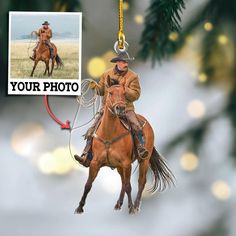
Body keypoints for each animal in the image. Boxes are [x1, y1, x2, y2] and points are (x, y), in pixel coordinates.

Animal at [74, 77, 175, 214]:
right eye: (110, 93)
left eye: (124, 93)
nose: (120, 108)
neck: (109, 135)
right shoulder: (95, 163)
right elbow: (88, 185)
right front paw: (79, 207)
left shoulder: (126, 163)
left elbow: (128, 186)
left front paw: (131, 207)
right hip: (119, 167)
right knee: (122, 182)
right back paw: (119, 204)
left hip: (144, 160)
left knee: (141, 181)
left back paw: (136, 205)